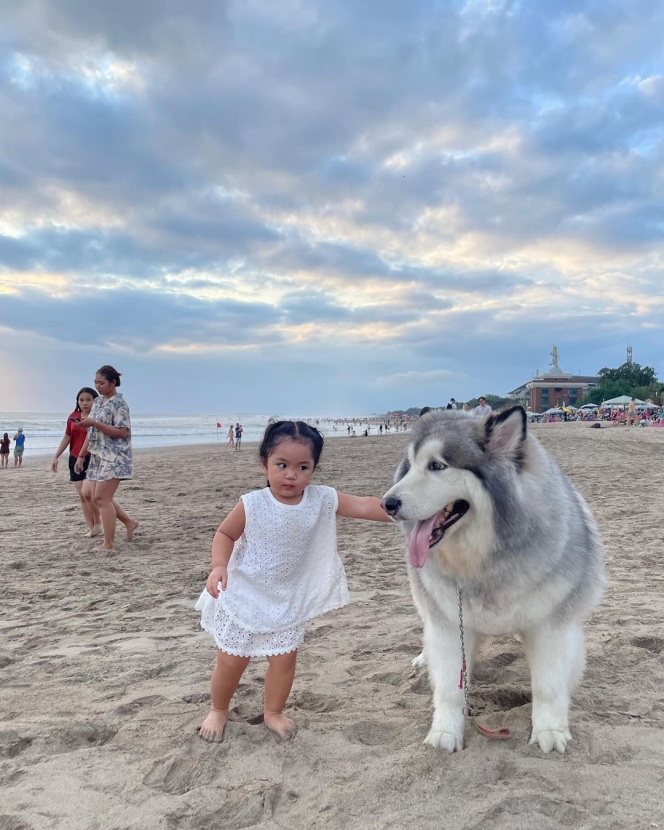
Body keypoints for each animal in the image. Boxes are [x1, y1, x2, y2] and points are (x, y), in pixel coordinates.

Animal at [382, 406, 604, 756]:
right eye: (409, 467)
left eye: (437, 466)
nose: (387, 504)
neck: (484, 559)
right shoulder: (450, 625)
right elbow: (450, 687)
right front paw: (446, 733)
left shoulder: (550, 625)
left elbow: (548, 685)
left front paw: (549, 730)